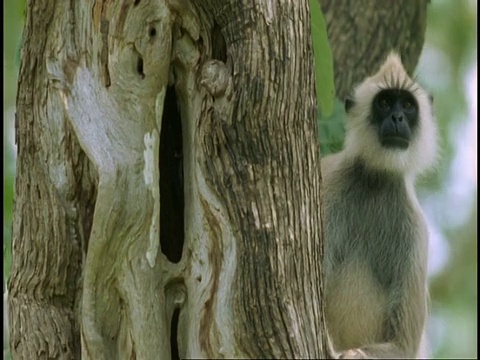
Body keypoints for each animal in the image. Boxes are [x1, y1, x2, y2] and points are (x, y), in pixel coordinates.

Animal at [322, 52, 438, 358]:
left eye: (407, 105)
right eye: (384, 103)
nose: (397, 117)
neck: (376, 179)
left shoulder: (416, 231)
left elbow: (403, 347)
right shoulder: (327, 187)